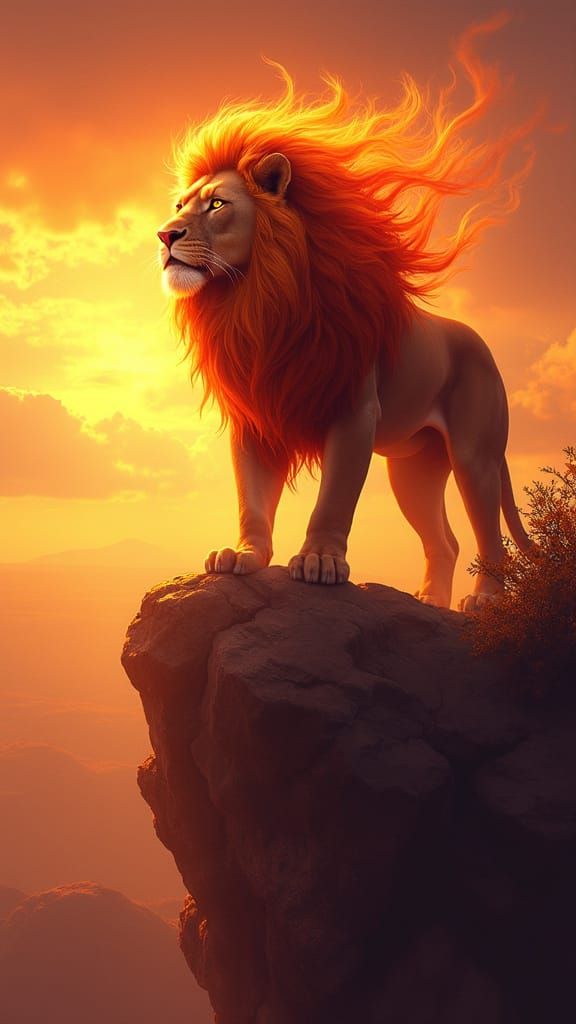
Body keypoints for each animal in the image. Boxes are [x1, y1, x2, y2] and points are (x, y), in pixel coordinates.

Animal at [157, 23, 535, 612]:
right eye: (180, 205)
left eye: (217, 205)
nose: (164, 235)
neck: (255, 302)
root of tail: (481, 342)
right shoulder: (257, 410)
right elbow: (252, 495)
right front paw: (244, 554)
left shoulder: (354, 409)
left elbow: (333, 497)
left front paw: (319, 562)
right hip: (413, 467)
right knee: (444, 540)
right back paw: (431, 603)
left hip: (476, 454)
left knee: (488, 533)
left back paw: (485, 601)